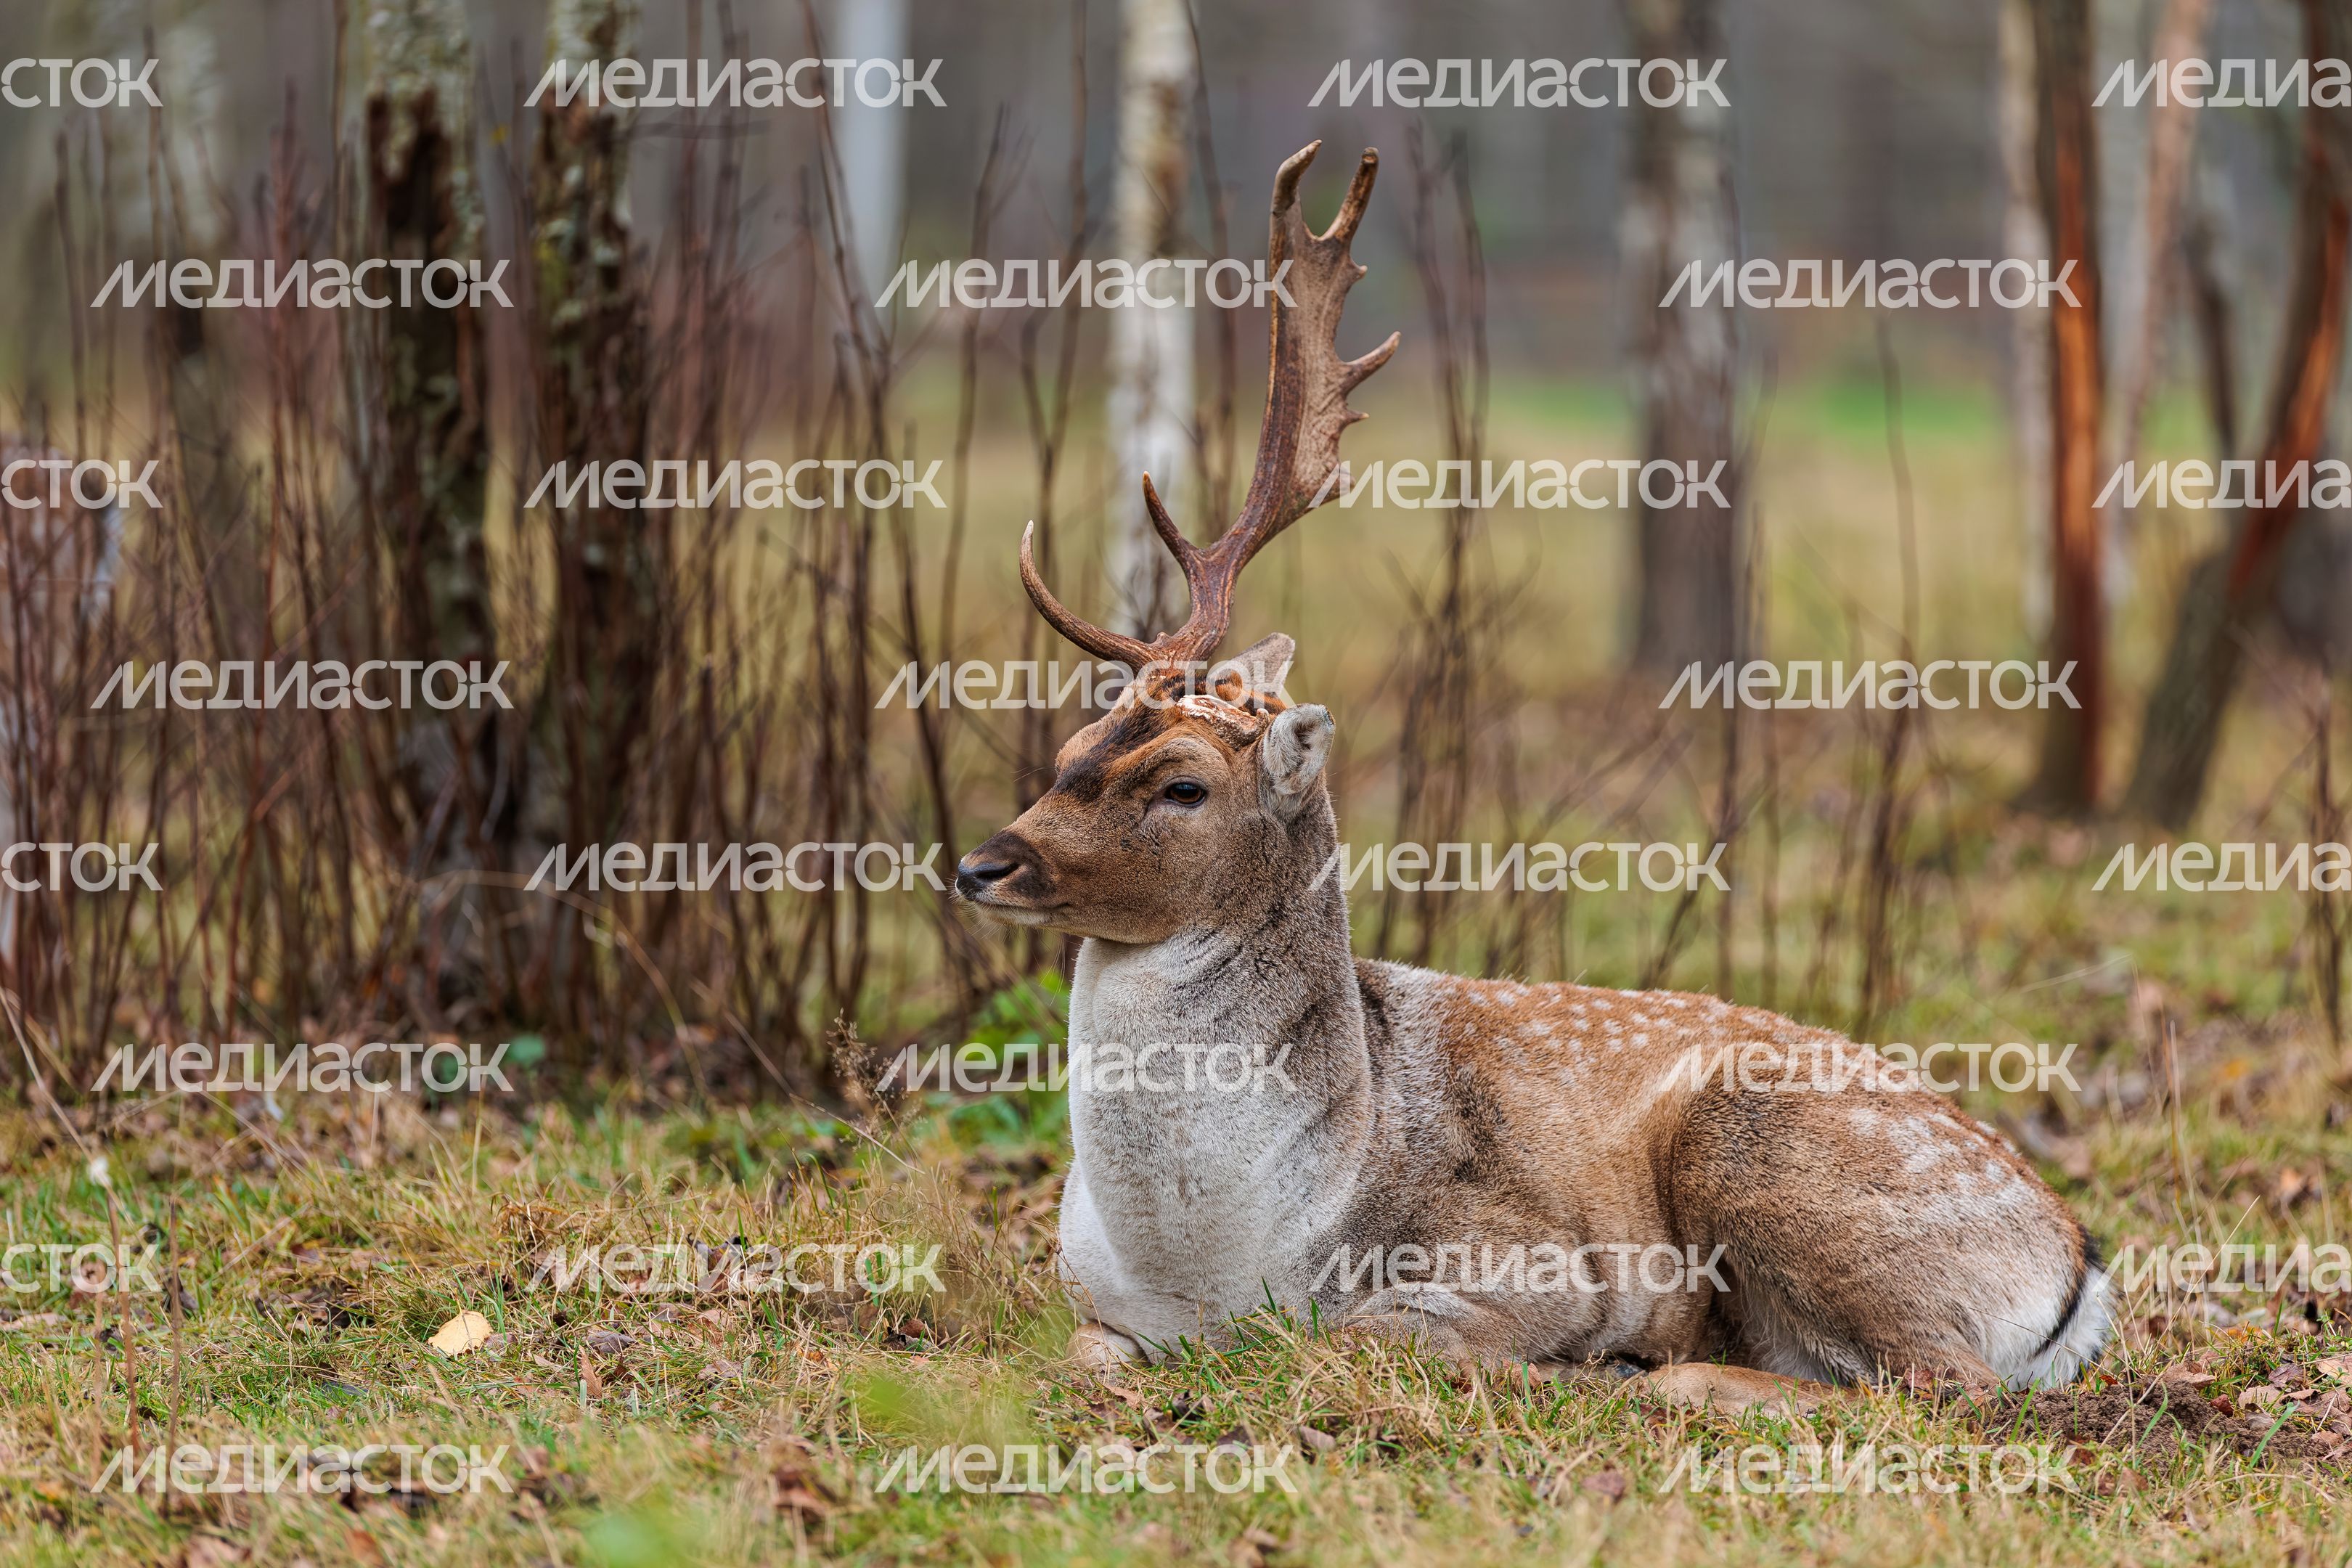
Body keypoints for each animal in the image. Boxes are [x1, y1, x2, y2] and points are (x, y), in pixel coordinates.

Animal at [954, 142, 2110, 1410]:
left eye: (1180, 785)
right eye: (1070, 751)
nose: (983, 864)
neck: (1216, 1265)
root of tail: (2078, 1273)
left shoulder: (1523, 1256)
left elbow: (1354, 1339)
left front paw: (1568, 1364)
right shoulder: (1092, 1304)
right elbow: (1078, 1353)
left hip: (1773, 1157)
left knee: (1941, 1382)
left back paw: (1658, 1376)